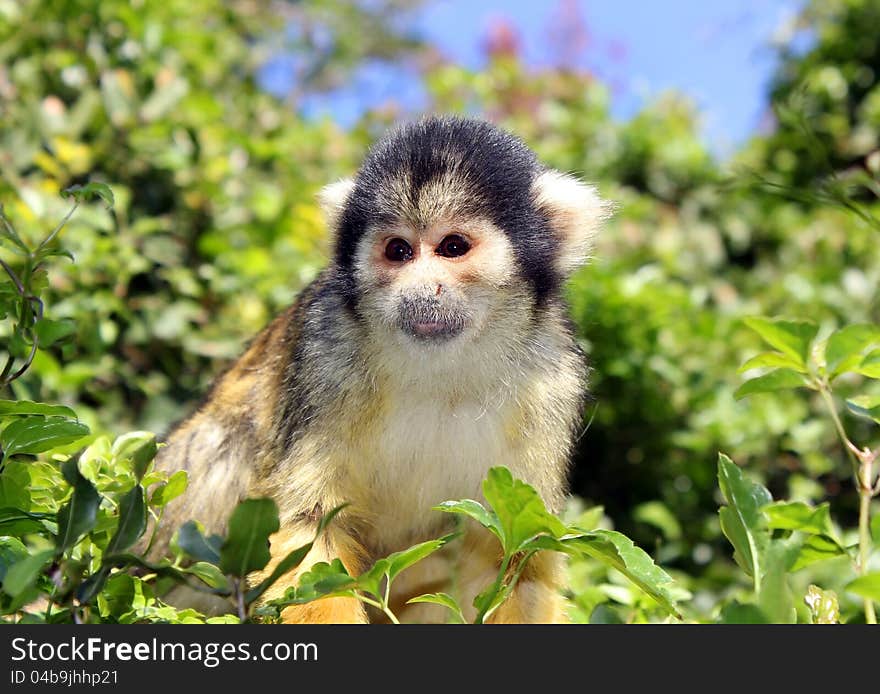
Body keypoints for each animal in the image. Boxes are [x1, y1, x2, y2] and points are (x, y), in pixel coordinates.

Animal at [148, 115, 608, 624]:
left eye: (453, 246)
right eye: (398, 251)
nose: (419, 288)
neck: (443, 371)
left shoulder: (551, 379)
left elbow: (517, 554)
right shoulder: (325, 350)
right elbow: (311, 525)